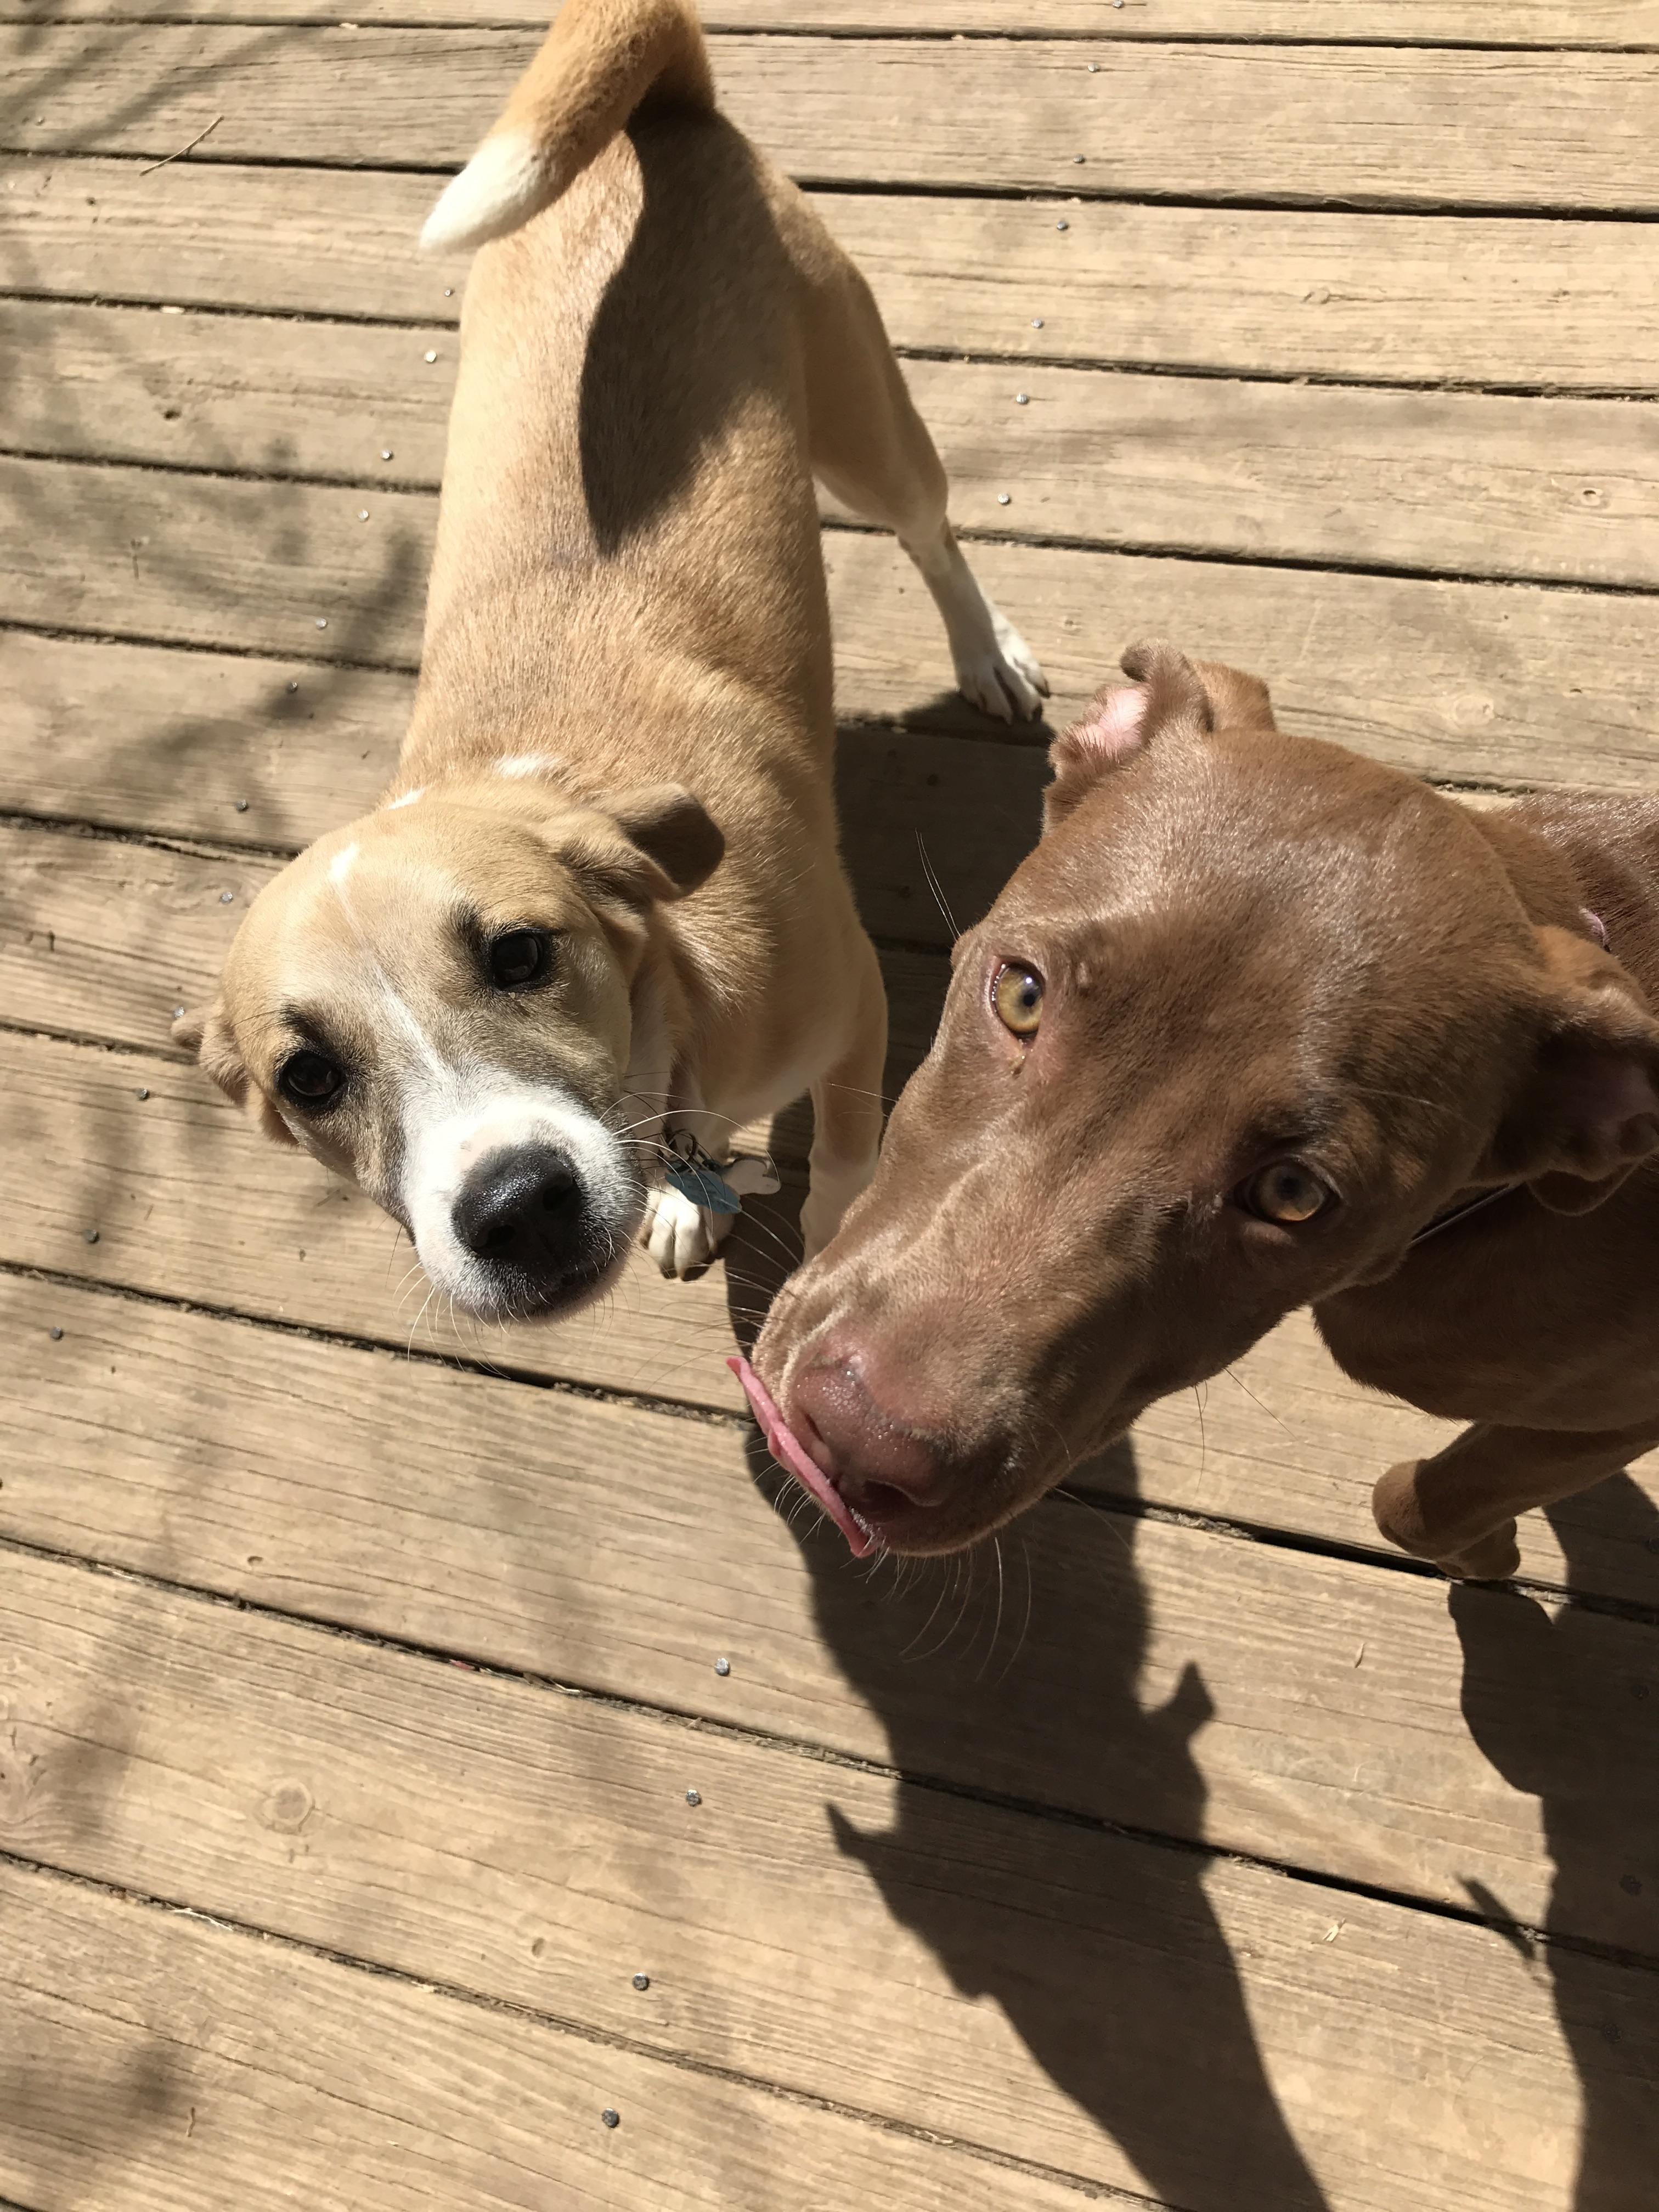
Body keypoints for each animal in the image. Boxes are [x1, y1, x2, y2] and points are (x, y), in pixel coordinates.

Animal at [176, 0, 1046, 1322]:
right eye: (309, 1077)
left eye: (521, 953)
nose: (515, 1210)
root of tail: (656, 118)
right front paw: (694, 1198)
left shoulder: (855, 1012)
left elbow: (843, 1171)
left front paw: (821, 1250)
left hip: (870, 430)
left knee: (934, 536)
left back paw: (987, 654)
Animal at [738, 640, 1659, 1579]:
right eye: (1022, 994)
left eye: (1294, 1195)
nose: (853, 1440)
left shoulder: (1613, 1419)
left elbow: (1417, 1503)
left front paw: (1491, 1554)